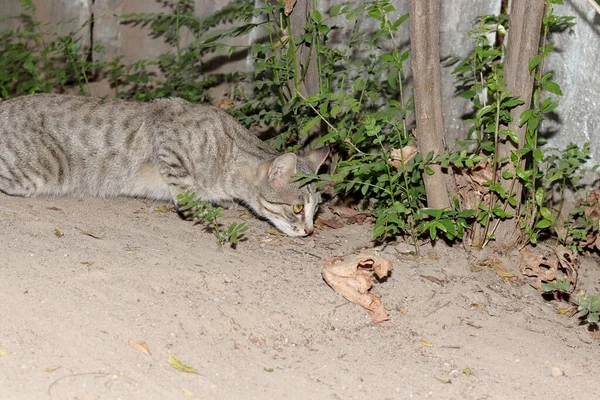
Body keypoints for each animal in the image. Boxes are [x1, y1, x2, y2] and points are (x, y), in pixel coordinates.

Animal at [0, 94, 328, 236]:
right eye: (297, 207)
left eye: (316, 210)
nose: (310, 230)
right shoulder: (168, 144)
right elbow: (187, 190)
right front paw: (203, 210)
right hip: (39, 173)